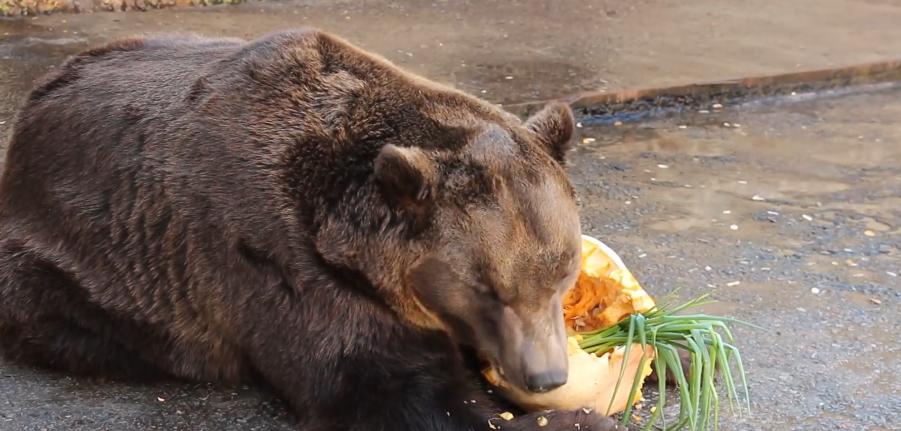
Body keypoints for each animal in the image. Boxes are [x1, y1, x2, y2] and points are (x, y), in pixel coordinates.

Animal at [0, 30, 624, 431]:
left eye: (563, 275)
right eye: (487, 289)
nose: (544, 375)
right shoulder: (272, 255)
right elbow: (389, 386)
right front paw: (572, 418)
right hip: (68, 258)